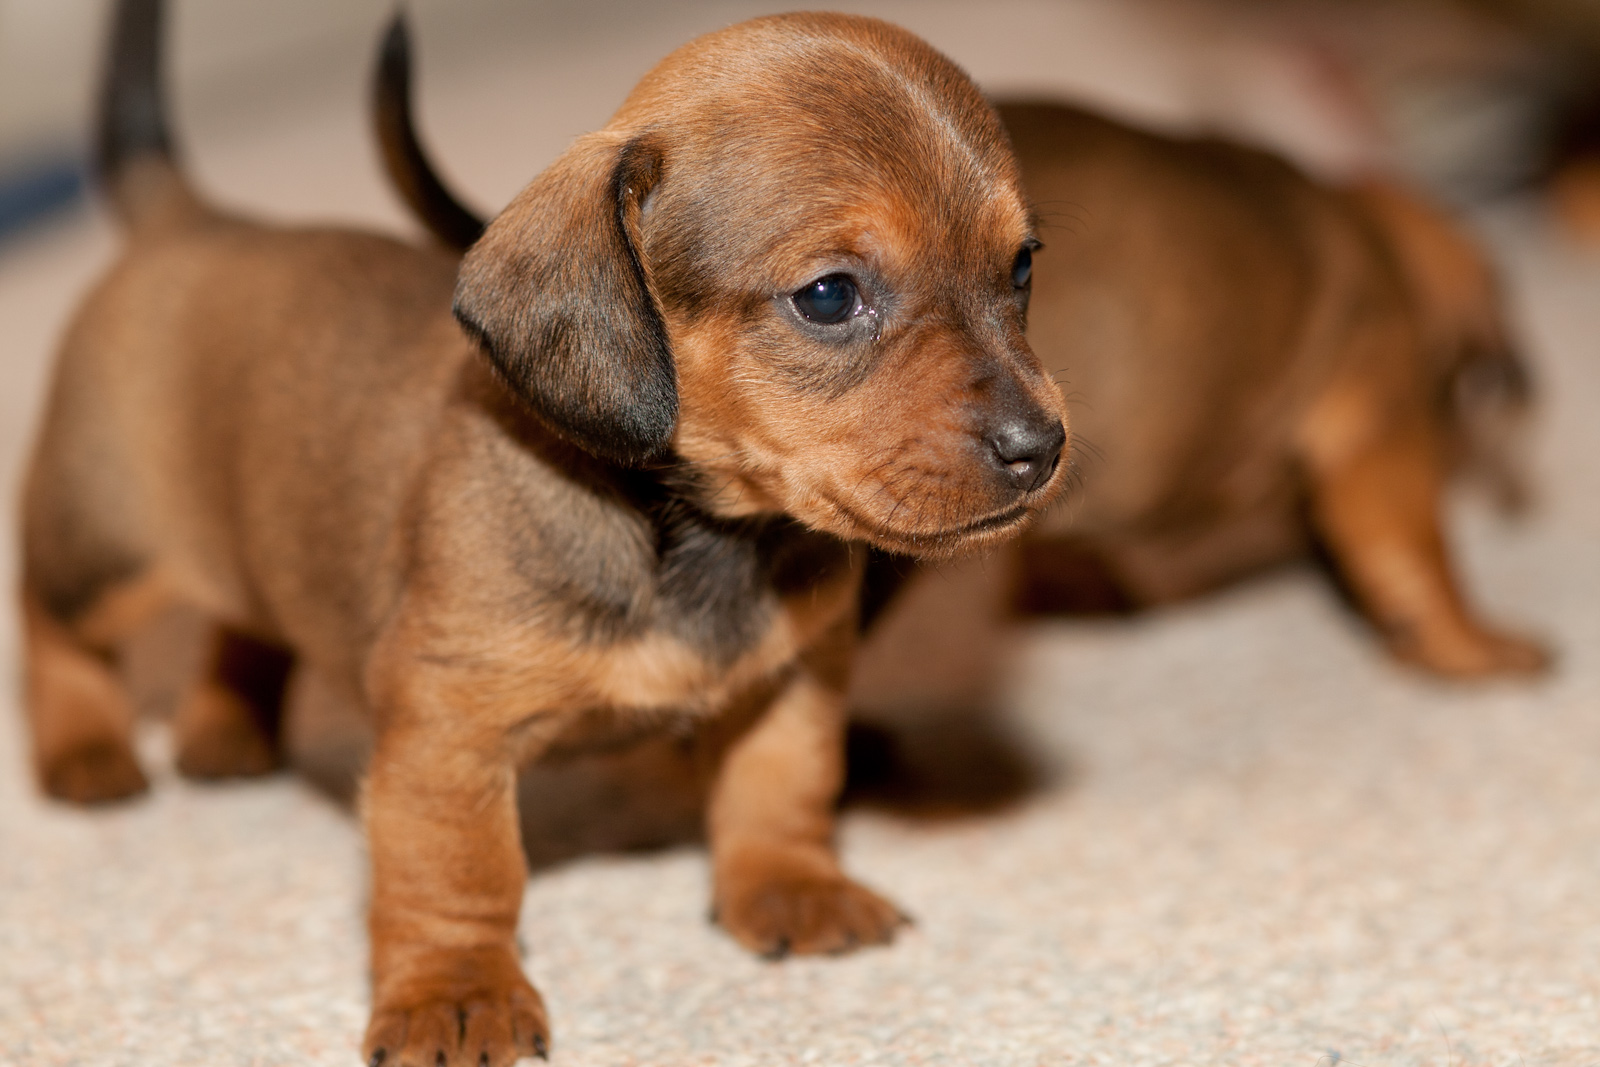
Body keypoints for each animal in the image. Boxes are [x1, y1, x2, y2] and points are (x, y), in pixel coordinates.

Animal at [18, 4, 1068, 1062]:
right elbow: (461, 872)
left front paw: (792, 885)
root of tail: (193, 220)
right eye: (829, 295)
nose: (1043, 447)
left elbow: (784, 783)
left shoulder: (795, 671)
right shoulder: (448, 730)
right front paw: (456, 990)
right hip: (100, 550)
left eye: (1021, 266)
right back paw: (85, 748)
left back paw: (225, 726)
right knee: (48, 620)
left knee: (248, 624)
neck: (693, 535)